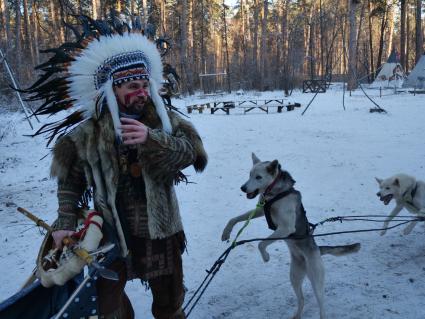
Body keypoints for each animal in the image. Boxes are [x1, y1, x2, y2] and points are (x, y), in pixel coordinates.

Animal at [220, 154, 360, 318]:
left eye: (258, 177)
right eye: (249, 174)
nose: (242, 188)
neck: (275, 193)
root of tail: (318, 250)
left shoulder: (286, 228)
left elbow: (261, 243)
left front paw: (266, 257)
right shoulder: (261, 210)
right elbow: (234, 219)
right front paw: (226, 232)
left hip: (316, 280)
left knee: (321, 305)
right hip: (294, 277)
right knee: (302, 299)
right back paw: (297, 315)